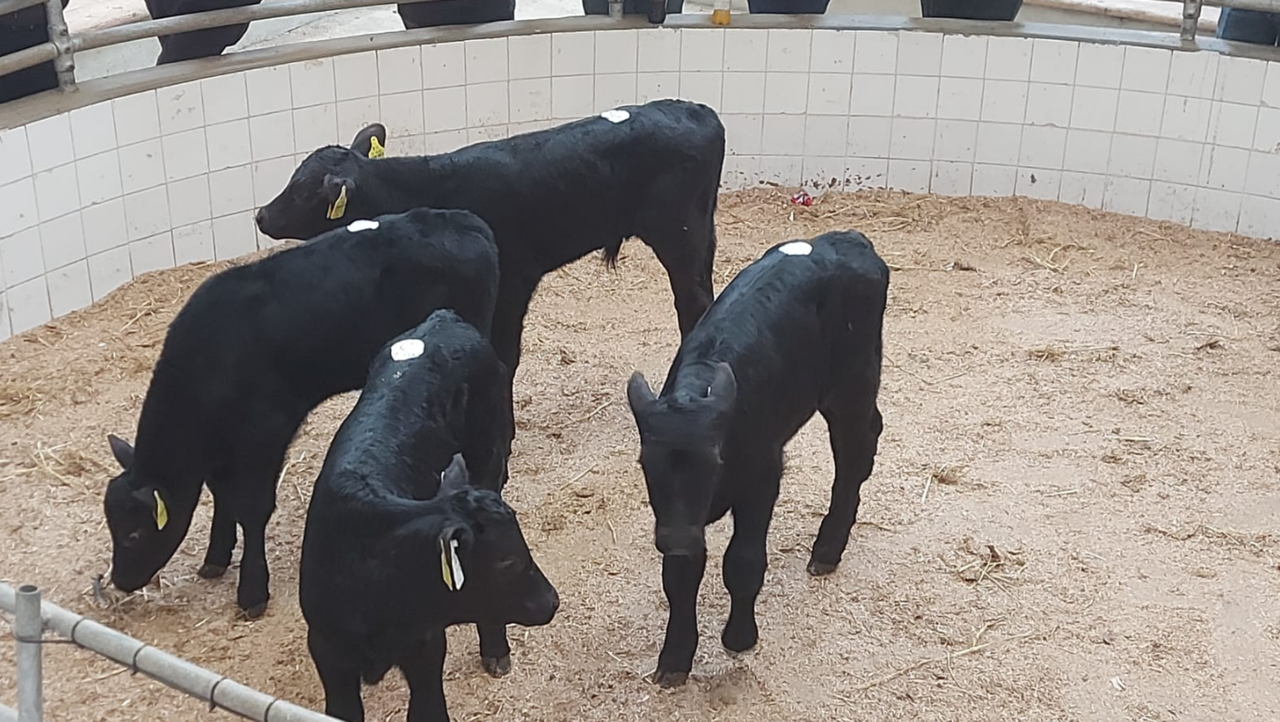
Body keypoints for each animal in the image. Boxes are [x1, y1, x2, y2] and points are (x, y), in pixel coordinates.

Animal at [101, 207, 499, 624]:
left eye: (133, 534)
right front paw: (216, 556)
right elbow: (222, 496)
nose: (122, 581)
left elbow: (251, 508)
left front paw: (252, 589)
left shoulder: (266, 433)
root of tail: (462, 219)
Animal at [255, 98, 725, 458]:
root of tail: (697, 110)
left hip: (679, 234)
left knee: (693, 303)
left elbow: (505, 356)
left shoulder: (513, 283)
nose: (261, 215)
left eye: (303, 191)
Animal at [300, 311, 558, 722]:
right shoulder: (329, 652)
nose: (552, 601)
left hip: (488, 456)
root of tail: (442, 319)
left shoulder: (426, 642)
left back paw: (496, 650)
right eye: (506, 561)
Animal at [624, 230, 889, 687]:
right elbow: (679, 577)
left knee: (854, 452)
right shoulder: (680, 518)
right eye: (646, 466)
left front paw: (739, 638)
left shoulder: (763, 477)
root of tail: (848, 239)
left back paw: (827, 548)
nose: (674, 540)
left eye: (714, 463)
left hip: (852, 383)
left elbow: (743, 562)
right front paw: (675, 659)